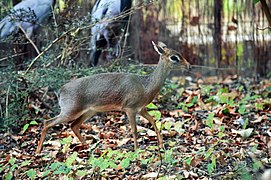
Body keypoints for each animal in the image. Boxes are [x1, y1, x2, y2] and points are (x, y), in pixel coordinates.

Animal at [36, 41, 192, 153]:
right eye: (174, 57)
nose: (189, 65)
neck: (145, 86)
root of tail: (60, 90)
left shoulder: (141, 109)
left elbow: (153, 121)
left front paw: (161, 145)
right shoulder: (129, 108)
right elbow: (134, 130)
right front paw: (137, 150)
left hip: (89, 111)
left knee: (73, 125)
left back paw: (89, 147)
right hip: (70, 110)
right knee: (48, 122)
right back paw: (38, 151)